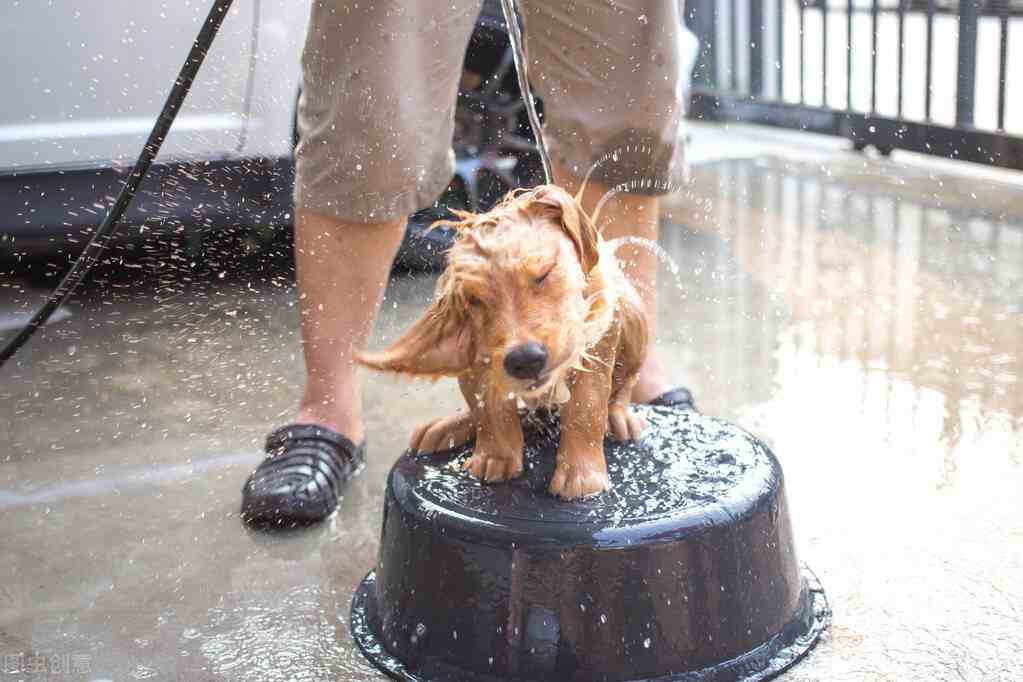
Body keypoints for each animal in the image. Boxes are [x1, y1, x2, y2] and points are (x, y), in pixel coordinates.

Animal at [358, 184, 646, 498]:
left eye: (544, 273)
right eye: (474, 300)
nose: (525, 360)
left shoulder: (598, 330)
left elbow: (588, 404)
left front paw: (582, 476)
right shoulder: (475, 353)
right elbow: (487, 408)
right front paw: (496, 456)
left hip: (633, 314)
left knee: (622, 386)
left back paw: (618, 417)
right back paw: (448, 426)